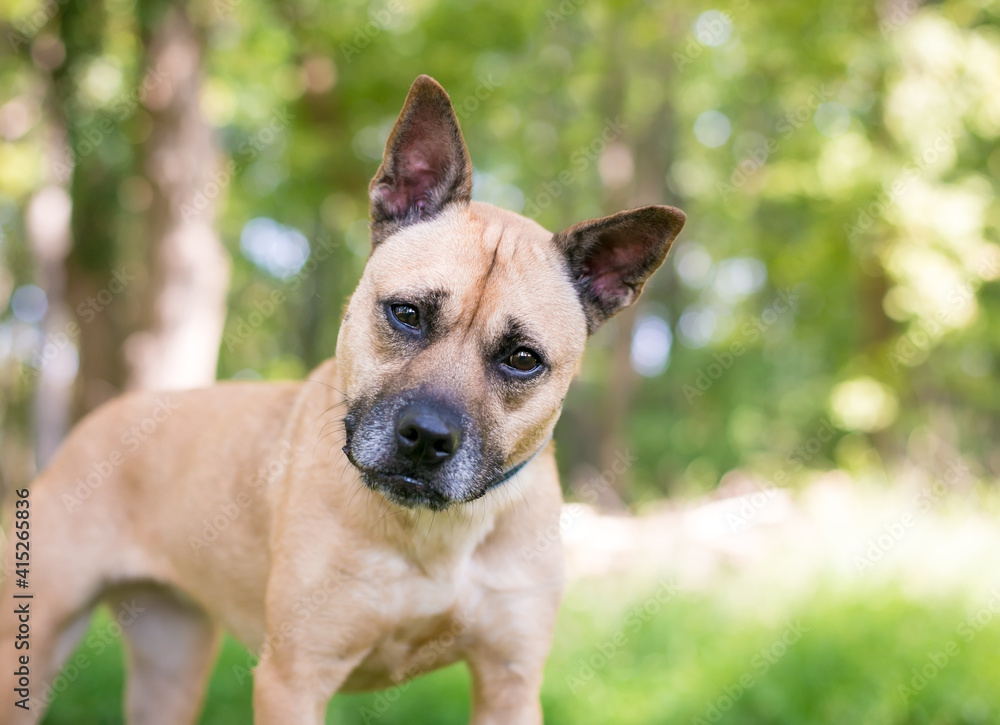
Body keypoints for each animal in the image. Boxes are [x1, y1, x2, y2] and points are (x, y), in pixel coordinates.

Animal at [0, 76, 684, 720]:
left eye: (522, 359)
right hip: (32, 651)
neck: (434, 535)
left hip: (171, 663)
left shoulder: (510, 684)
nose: (427, 438)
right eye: (406, 313)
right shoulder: (293, 680)